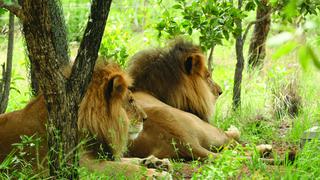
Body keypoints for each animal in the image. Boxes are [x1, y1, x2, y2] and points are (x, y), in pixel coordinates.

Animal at [0, 62, 171, 179]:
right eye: (130, 101)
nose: (145, 118)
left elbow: (129, 161)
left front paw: (157, 163)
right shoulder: (80, 167)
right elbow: (125, 168)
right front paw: (156, 174)